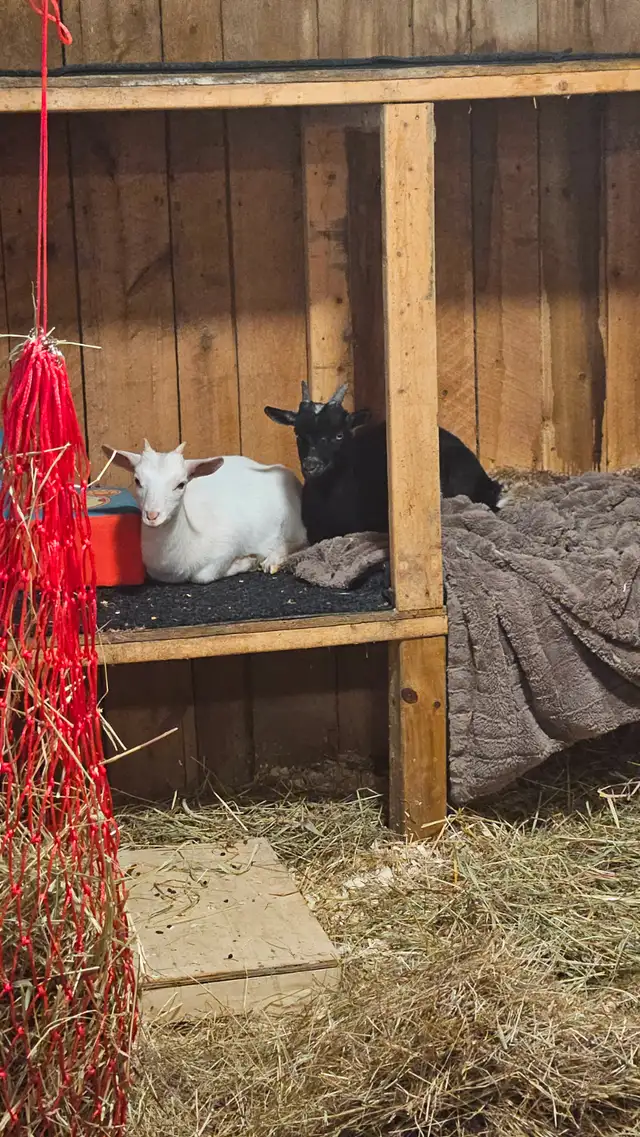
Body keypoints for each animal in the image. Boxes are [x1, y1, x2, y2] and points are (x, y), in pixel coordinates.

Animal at [102, 440, 307, 584]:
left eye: (181, 484)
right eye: (137, 481)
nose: (152, 516)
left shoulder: (227, 546)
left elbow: (203, 576)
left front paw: (248, 562)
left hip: (292, 521)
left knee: (299, 540)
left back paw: (272, 560)